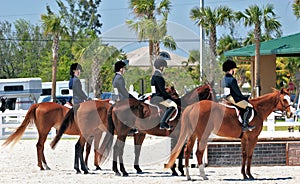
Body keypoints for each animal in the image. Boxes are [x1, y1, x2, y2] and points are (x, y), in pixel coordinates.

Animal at [164, 87, 292, 180]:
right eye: (284, 100)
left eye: (290, 99)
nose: (291, 114)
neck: (258, 109)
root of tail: (192, 106)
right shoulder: (253, 138)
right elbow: (250, 155)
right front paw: (250, 175)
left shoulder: (244, 138)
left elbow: (244, 155)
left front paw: (244, 175)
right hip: (202, 135)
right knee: (198, 153)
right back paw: (203, 176)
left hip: (193, 135)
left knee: (187, 151)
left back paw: (188, 176)